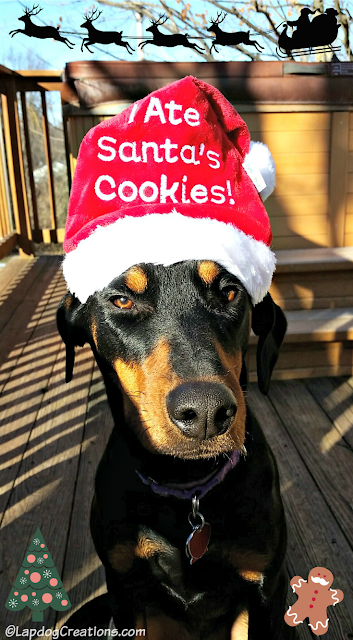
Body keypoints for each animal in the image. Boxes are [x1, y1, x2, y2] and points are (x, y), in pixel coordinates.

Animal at [56, 258, 290, 636]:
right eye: (122, 300)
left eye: (229, 292)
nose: (207, 411)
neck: (185, 483)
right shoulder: (123, 586)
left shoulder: (265, 589)